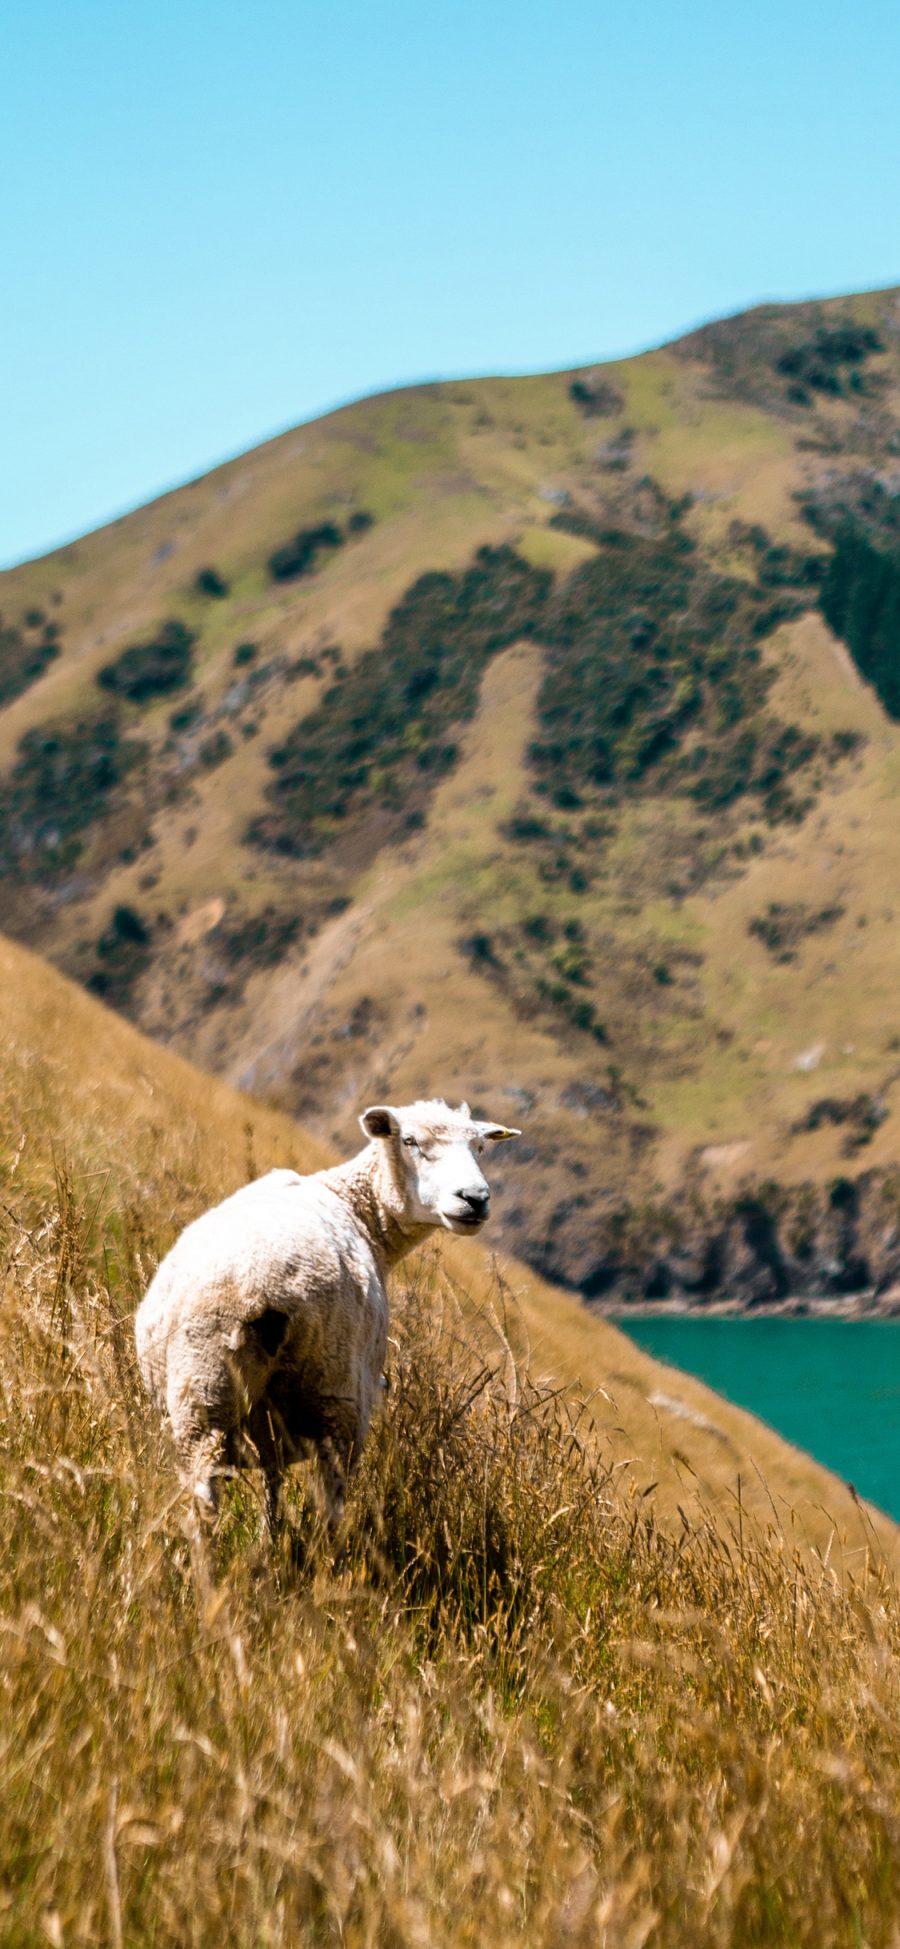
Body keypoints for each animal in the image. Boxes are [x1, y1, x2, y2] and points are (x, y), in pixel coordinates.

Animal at [130, 1099, 518, 1535]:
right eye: (410, 1141)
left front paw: (270, 1532)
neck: (359, 1207)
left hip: (199, 1392)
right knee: (329, 1510)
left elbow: (272, 1483)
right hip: (337, 1398)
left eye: (480, 1147)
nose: (475, 1198)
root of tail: (256, 1286)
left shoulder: (266, 1427)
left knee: (204, 1503)